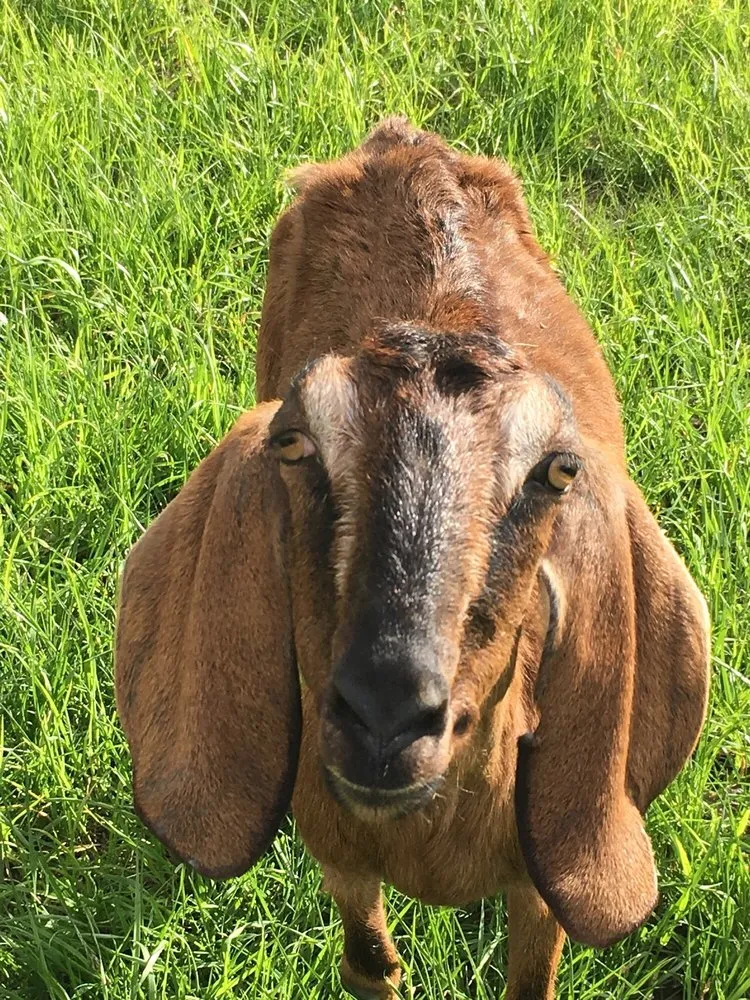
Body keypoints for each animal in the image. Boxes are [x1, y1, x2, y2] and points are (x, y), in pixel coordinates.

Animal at [115, 118, 711, 999]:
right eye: (295, 444)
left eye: (557, 471)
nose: (385, 713)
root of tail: (405, 141)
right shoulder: (338, 850)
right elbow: (371, 963)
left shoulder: (542, 886)